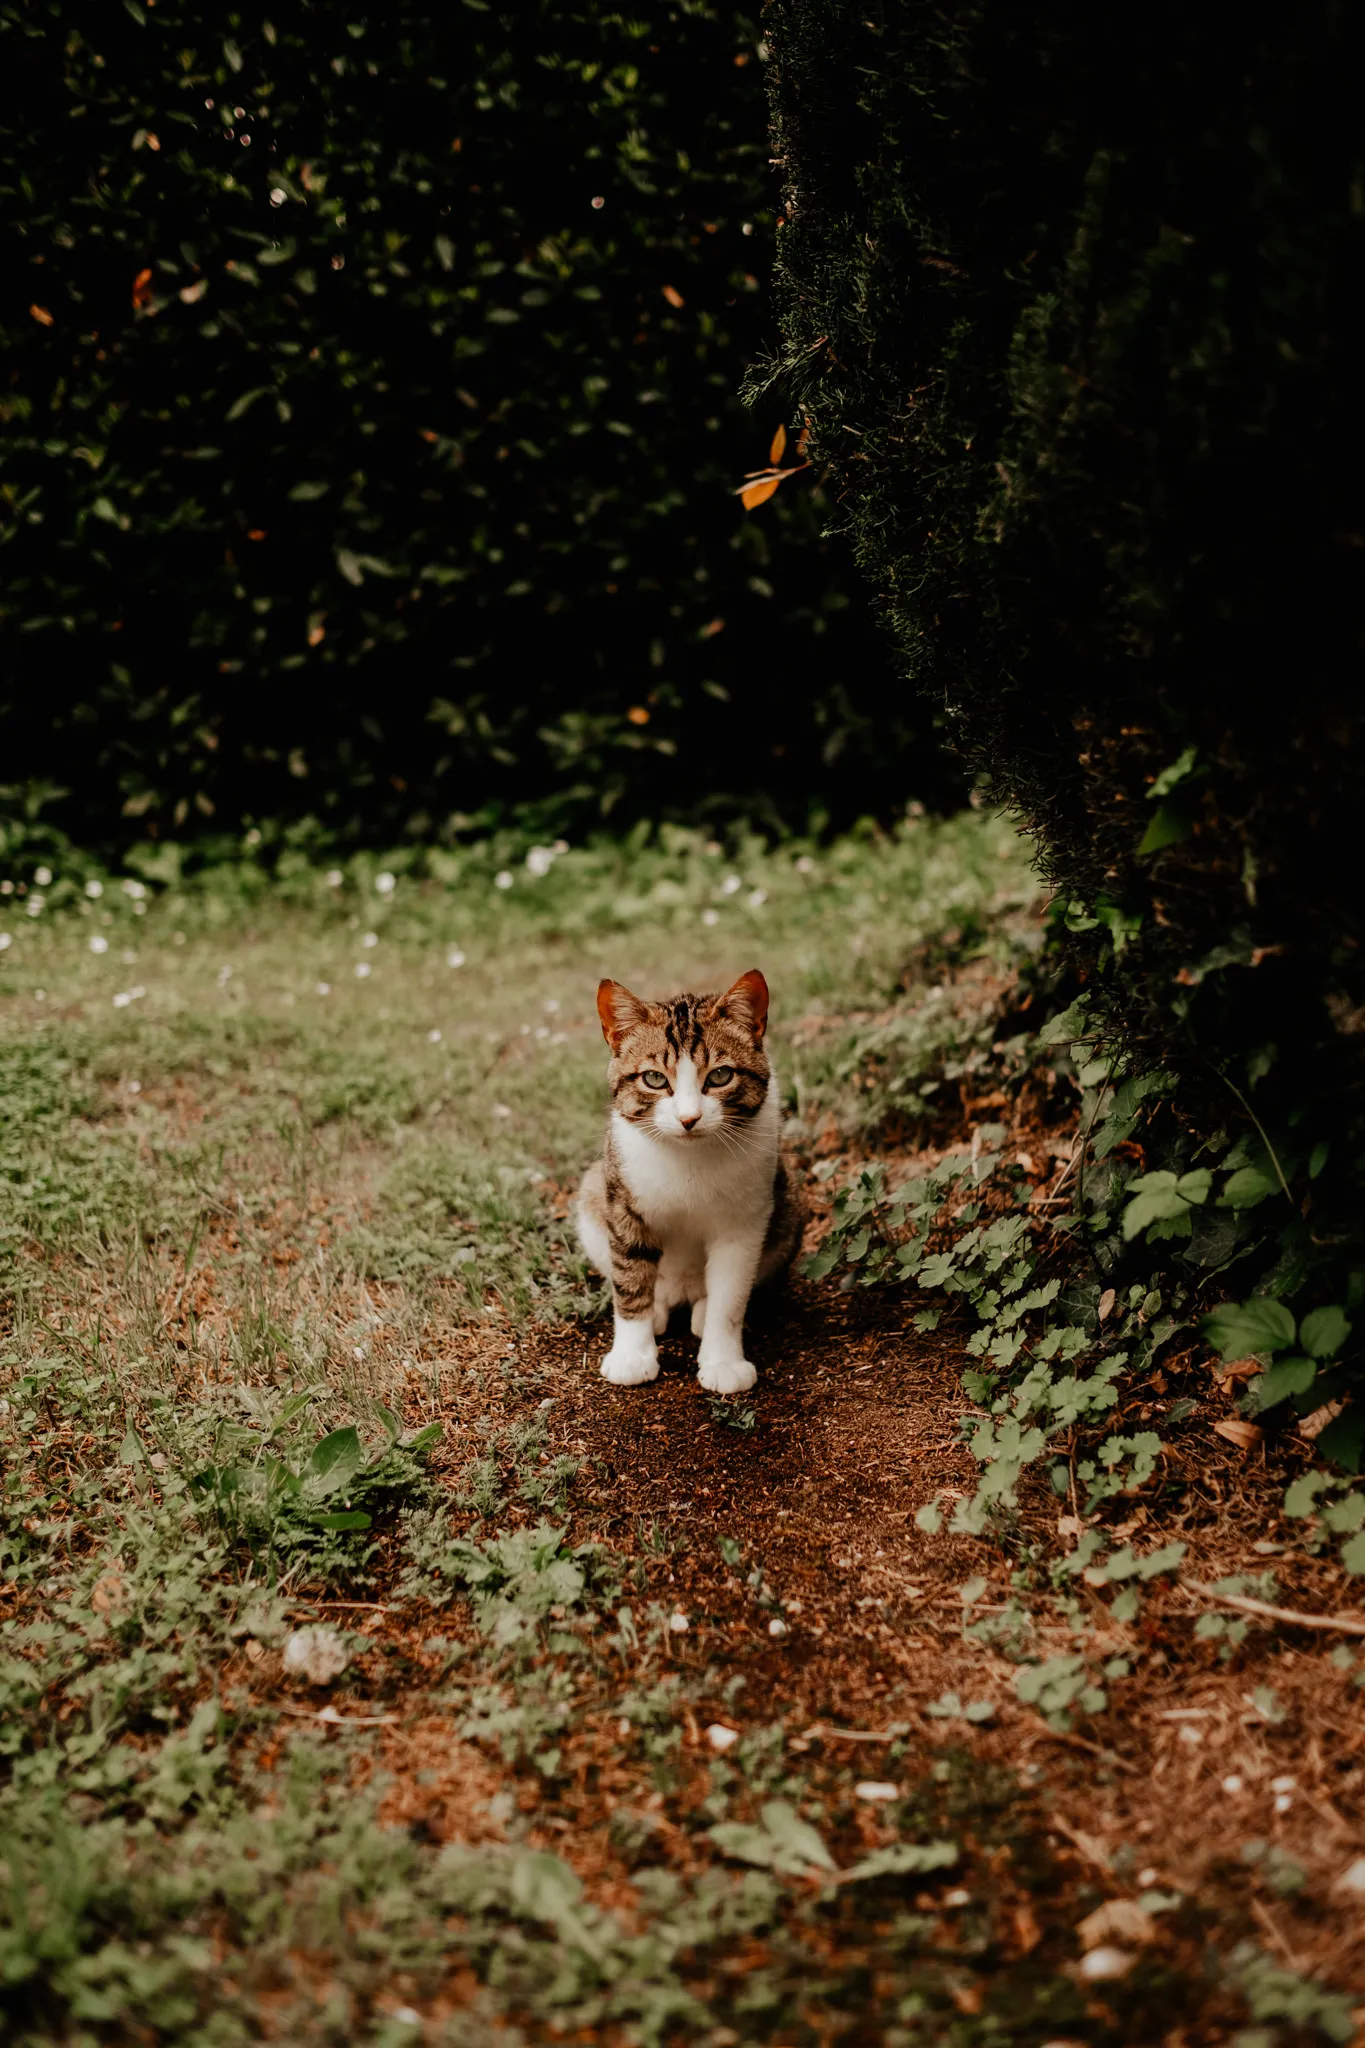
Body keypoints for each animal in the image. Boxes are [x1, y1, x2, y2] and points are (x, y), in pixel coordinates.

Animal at [573, 962, 802, 1392]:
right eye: (654, 1079)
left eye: (721, 1075)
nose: (688, 1118)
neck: (689, 1156)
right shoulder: (624, 1200)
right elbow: (630, 1277)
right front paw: (632, 1355)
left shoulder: (744, 1221)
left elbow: (731, 1294)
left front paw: (723, 1361)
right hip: (592, 1193)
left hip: (790, 1209)